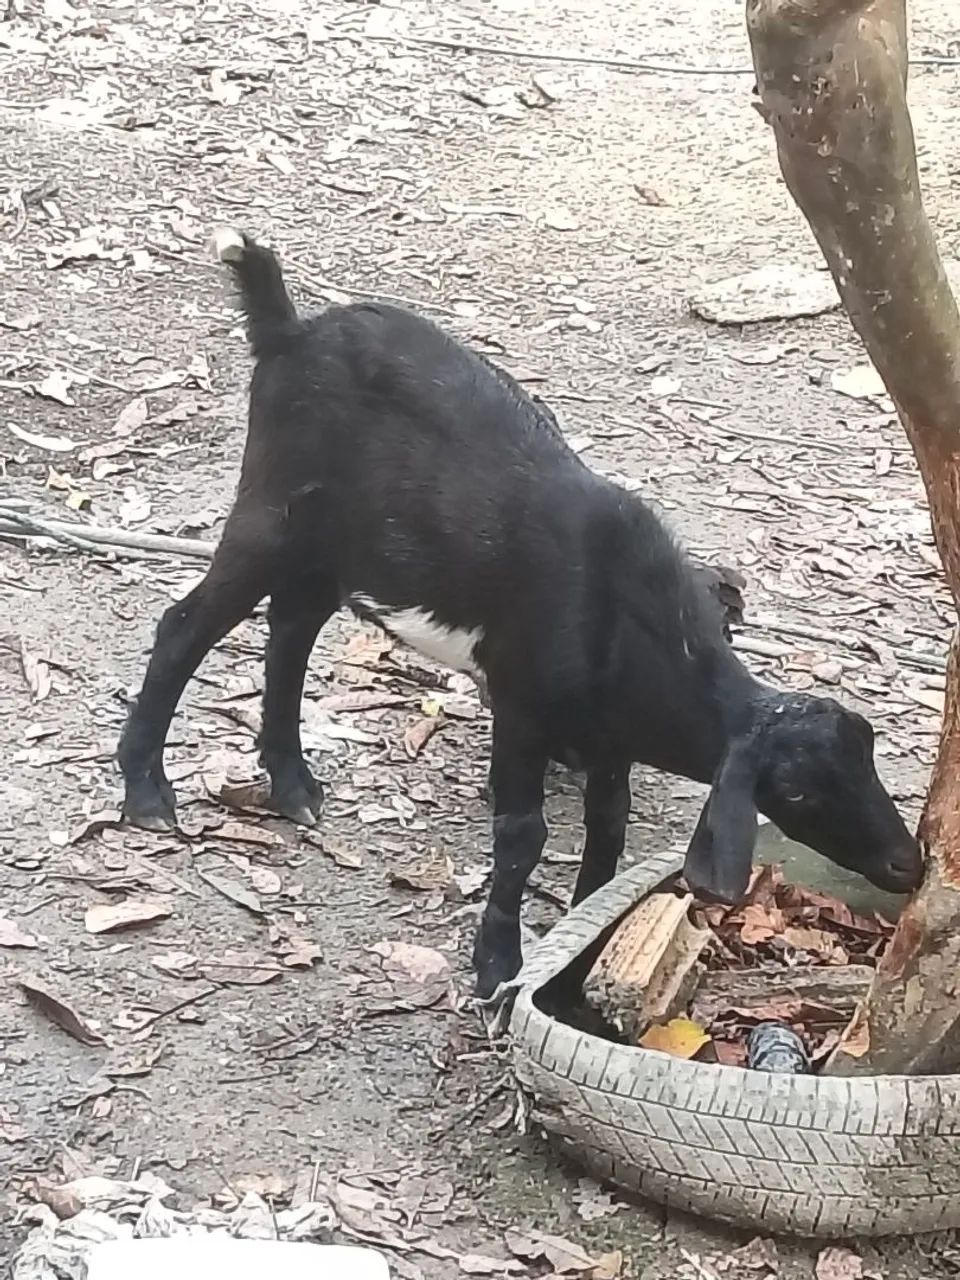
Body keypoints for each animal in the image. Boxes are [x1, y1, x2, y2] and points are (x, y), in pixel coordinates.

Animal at [117, 230, 923, 998]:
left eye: (869, 754)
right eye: (794, 790)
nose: (907, 865)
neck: (623, 616)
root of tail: (288, 330)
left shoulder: (608, 737)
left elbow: (608, 827)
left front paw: (580, 938)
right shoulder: (521, 705)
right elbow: (522, 835)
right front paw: (497, 965)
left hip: (336, 549)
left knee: (291, 628)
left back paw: (292, 787)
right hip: (271, 511)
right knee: (185, 627)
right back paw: (147, 793)